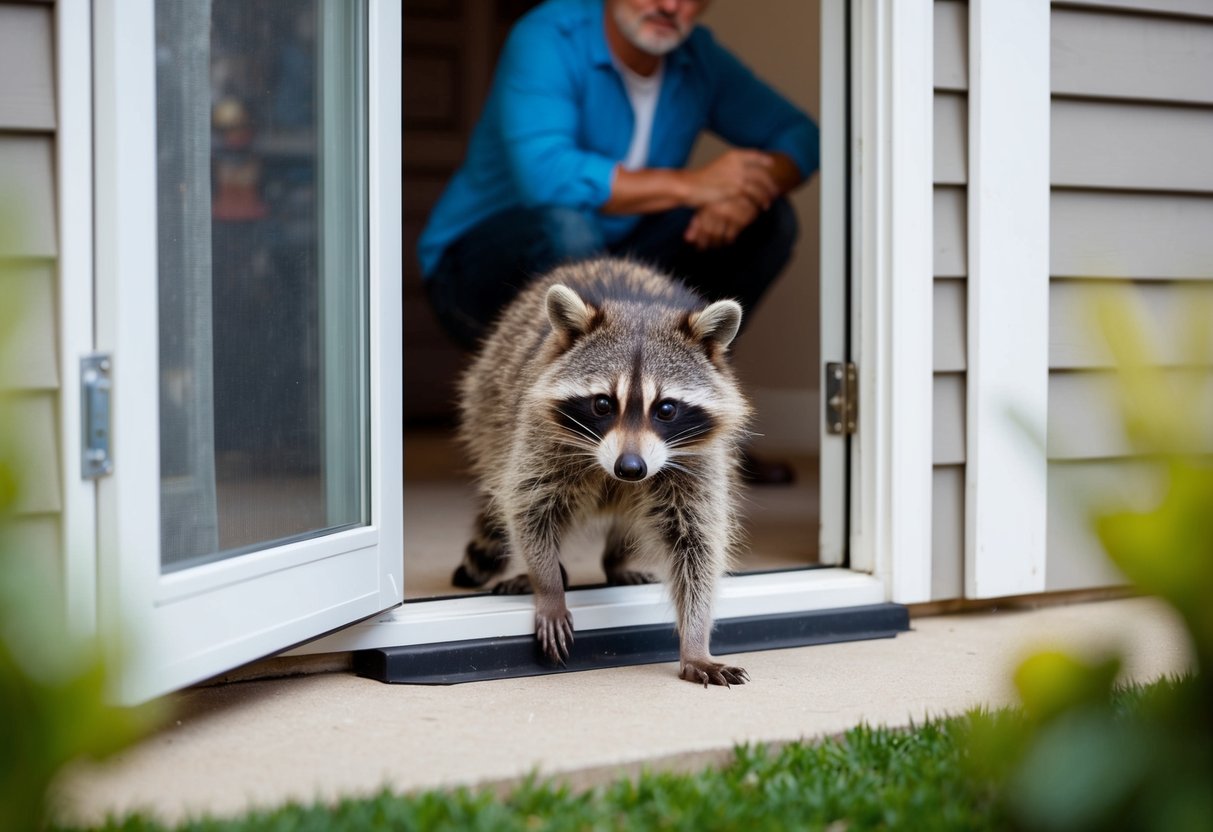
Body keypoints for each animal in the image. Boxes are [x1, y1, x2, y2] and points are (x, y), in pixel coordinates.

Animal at [453, 257, 753, 686]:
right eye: (602, 404)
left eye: (666, 409)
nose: (630, 468)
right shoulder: (540, 434)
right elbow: (529, 509)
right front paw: (548, 585)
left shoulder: (698, 459)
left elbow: (696, 544)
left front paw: (695, 639)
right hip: (487, 403)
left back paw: (617, 561)